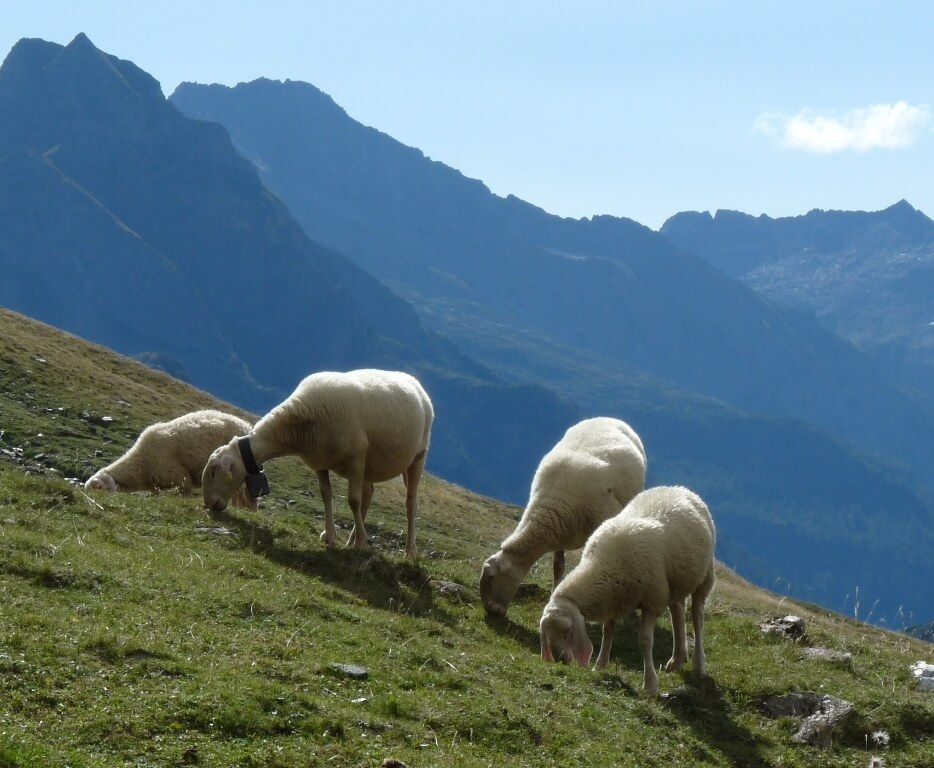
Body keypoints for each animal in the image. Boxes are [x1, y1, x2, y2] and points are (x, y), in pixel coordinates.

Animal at [85, 409, 255, 506]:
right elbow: (157, 494)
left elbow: (185, 493)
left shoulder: (180, 476)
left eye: (99, 489)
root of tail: (246, 425)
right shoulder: (155, 485)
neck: (141, 464)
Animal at [201, 369, 433, 557]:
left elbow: (353, 501)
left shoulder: (356, 459)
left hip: (418, 456)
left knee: (410, 502)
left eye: (213, 472)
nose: (210, 505)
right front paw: (330, 536)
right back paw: (352, 538)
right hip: (369, 466)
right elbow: (326, 495)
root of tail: (414, 381)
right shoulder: (321, 462)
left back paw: (409, 550)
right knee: (368, 494)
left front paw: (361, 542)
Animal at [480, 417, 646, 617]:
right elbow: (558, 566)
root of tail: (609, 417)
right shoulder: (559, 529)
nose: (492, 611)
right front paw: (554, 594)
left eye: (491, 578)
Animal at [539, 485, 715, 694]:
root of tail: (680, 488)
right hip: (674, 582)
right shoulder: (615, 598)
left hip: (704, 576)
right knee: (677, 612)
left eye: (567, 631)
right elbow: (608, 631)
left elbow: (645, 640)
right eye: (546, 634)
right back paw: (676, 660)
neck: (604, 565)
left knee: (697, 618)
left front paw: (650, 684)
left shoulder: (652, 601)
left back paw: (699, 666)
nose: (561, 660)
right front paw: (600, 665)